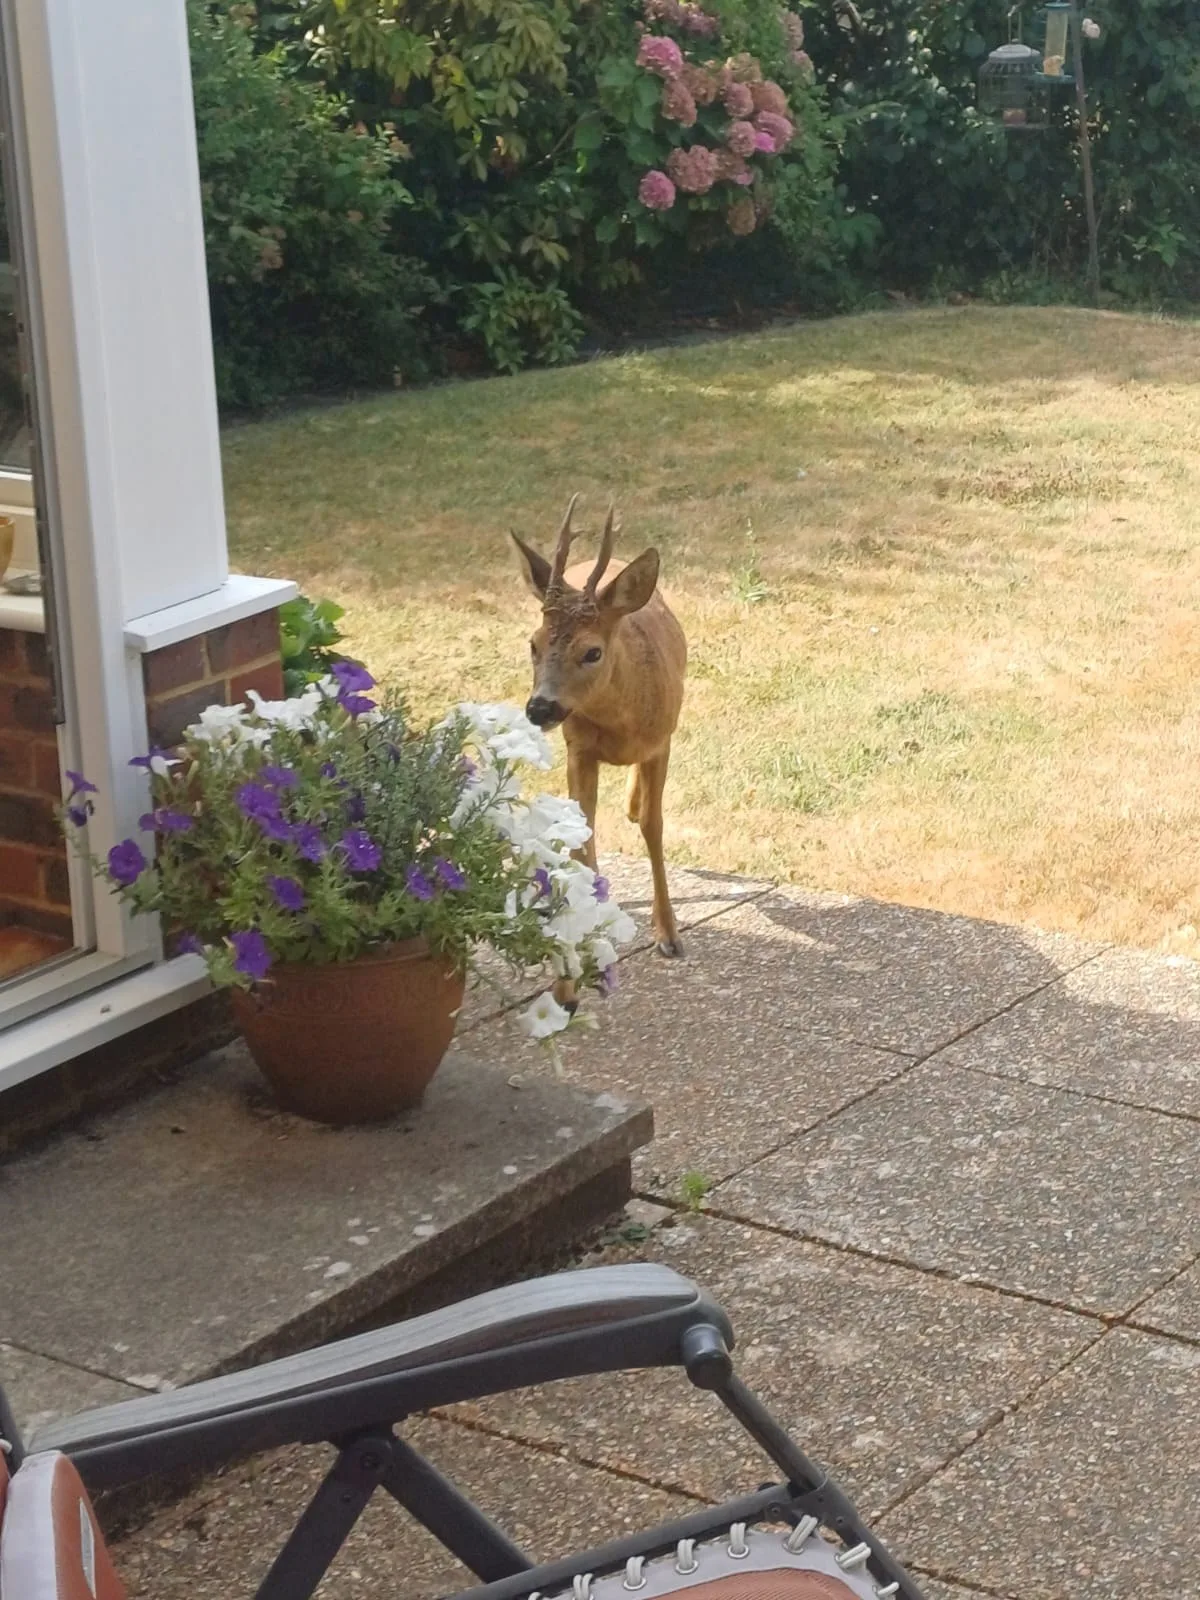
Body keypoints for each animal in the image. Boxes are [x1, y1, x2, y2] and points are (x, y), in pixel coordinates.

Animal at [511, 494, 688, 964]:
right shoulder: (579, 748)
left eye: (592, 652)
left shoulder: (661, 742)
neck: (620, 724)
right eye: (533, 644)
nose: (540, 707)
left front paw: (669, 933)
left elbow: (654, 826)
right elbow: (582, 831)